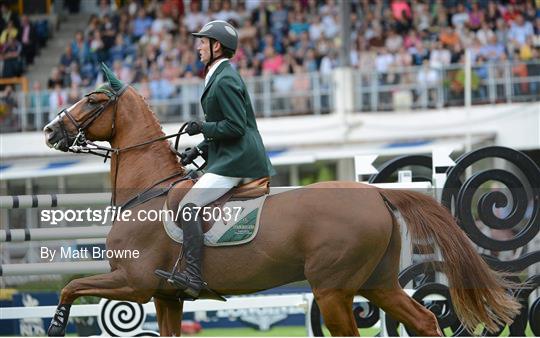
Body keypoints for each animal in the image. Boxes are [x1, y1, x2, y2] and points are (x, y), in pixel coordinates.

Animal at [44, 64, 520, 336]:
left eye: (92, 99)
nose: (50, 131)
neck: (148, 191)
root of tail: (376, 193)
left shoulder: (135, 282)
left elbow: (70, 286)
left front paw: (56, 325)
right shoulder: (166, 297)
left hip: (333, 290)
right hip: (378, 283)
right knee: (423, 321)